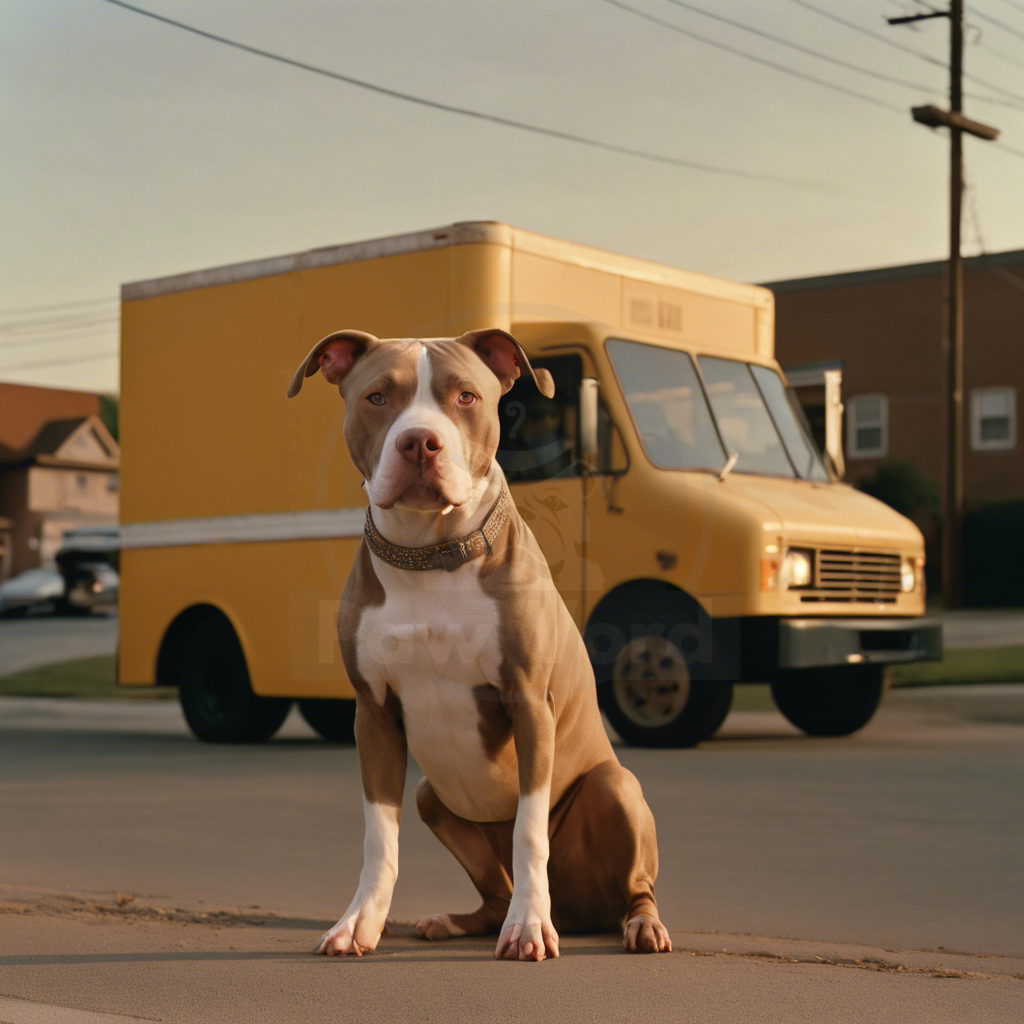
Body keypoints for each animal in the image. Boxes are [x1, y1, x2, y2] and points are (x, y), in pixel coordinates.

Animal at [288, 327, 671, 958]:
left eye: (465, 396)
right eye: (377, 397)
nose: (421, 442)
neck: (430, 554)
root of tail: (582, 911)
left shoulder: (529, 701)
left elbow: (530, 828)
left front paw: (530, 926)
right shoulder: (373, 714)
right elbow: (379, 837)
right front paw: (359, 922)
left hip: (615, 787)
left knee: (632, 882)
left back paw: (636, 923)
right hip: (432, 798)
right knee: (493, 891)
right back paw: (459, 920)